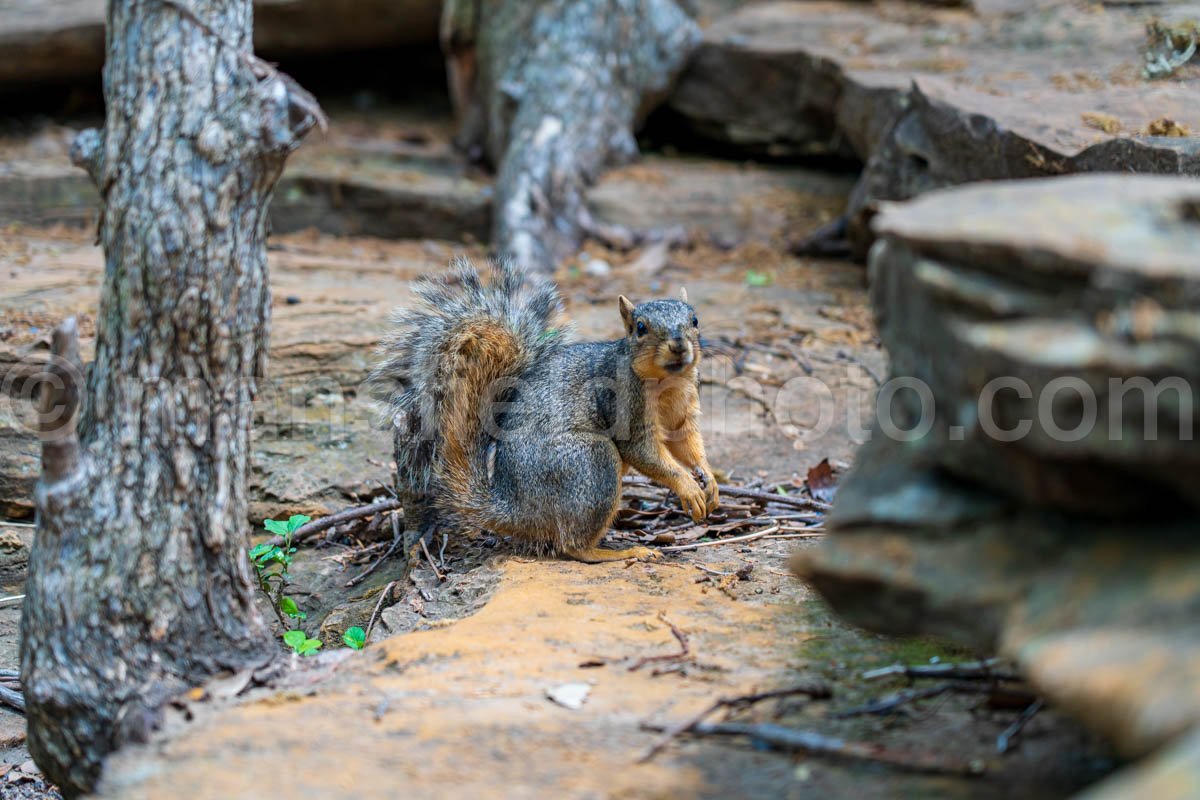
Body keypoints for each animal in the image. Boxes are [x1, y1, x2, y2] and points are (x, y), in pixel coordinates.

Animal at [369, 260, 715, 561]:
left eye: (695, 320)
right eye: (641, 328)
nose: (679, 345)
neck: (667, 382)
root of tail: (513, 508)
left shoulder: (684, 409)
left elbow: (686, 442)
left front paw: (707, 478)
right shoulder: (623, 402)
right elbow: (644, 451)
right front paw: (687, 486)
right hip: (591, 462)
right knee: (572, 545)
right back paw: (618, 553)